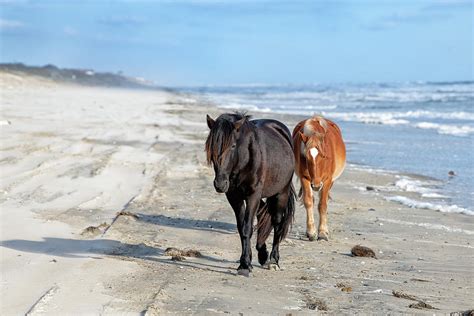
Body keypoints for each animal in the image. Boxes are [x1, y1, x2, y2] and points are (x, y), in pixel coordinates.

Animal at [205, 112, 294, 276]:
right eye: (211, 147)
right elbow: (242, 228)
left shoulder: (253, 195)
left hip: (281, 193)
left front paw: (245, 265)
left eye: (233, 145)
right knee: (264, 213)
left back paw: (274, 260)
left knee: (277, 222)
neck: (244, 160)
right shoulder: (234, 197)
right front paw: (246, 261)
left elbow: (247, 227)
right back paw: (262, 253)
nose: (220, 184)